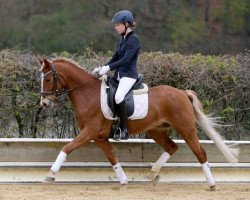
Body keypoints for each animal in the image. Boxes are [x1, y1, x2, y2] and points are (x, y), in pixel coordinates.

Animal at [38, 57, 238, 189]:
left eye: (47, 79)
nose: (44, 103)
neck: (87, 92)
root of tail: (182, 92)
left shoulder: (89, 132)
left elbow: (67, 148)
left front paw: (50, 175)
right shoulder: (99, 137)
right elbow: (112, 158)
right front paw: (123, 180)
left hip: (186, 128)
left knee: (200, 152)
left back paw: (212, 184)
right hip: (156, 130)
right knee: (172, 147)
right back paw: (153, 173)